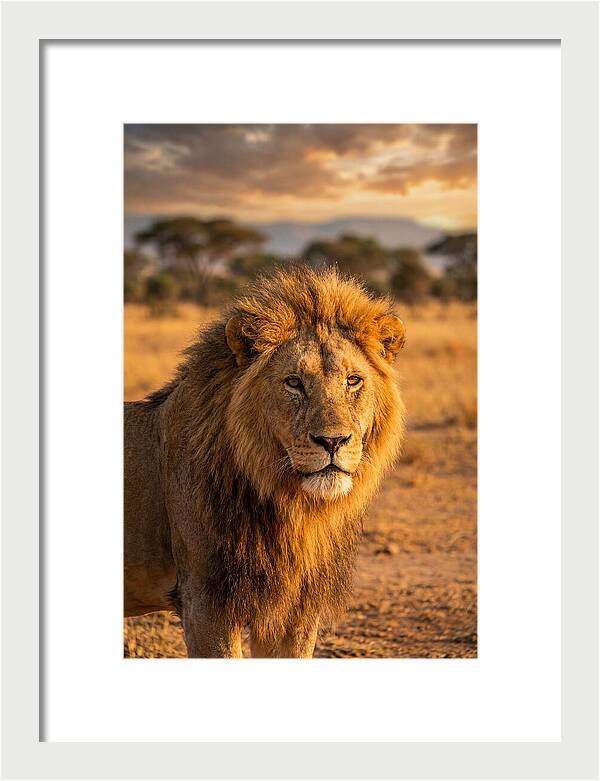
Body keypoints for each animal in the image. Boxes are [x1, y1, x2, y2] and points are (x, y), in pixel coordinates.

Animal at [124, 266, 406, 657]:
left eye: (353, 381)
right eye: (294, 383)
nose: (332, 441)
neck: (292, 508)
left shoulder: (296, 609)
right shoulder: (205, 601)